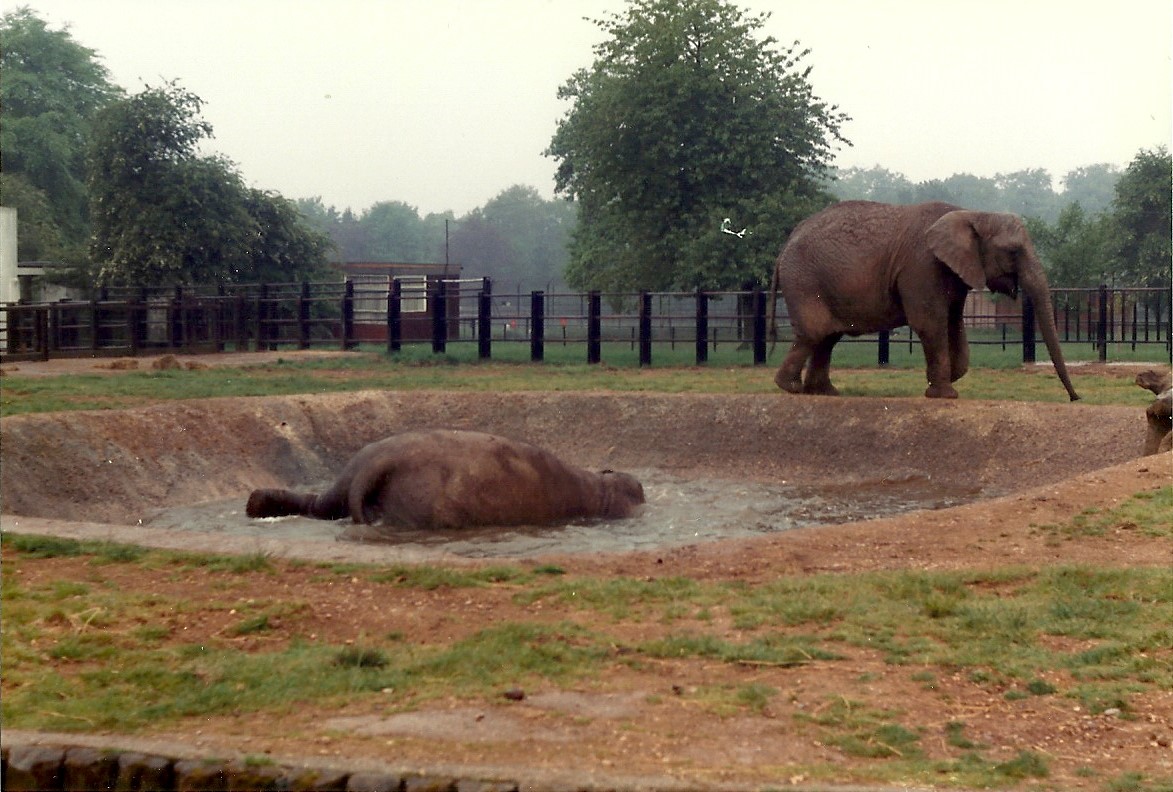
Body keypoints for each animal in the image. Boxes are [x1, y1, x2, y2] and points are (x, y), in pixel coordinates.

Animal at [246, 429, 646, 540]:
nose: (639, 486)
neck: (599, 490)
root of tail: (376, 466)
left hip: (352, 479)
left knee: (323, 505)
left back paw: (256, 503)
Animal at [767, 201, 1080, 400]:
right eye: (1014, 251)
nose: (1075, 398)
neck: (972, 214)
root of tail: (783, 248)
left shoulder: (954, 271)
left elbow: (954, 323)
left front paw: (948, 378)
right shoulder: (923, 266)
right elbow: (931, 322)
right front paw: (945, 394)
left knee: (827, 337)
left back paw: (824, 392)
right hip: (805, 280)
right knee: (816, 332)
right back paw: (791, 388)